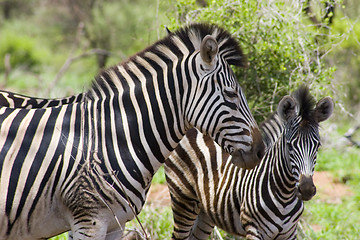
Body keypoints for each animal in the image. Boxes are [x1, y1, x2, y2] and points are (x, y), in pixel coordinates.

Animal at [166, 86, 334, 240]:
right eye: (289, 145)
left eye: (318, 145)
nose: (306, 189)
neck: (285, 195)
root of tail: (191, 126)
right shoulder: (254, 229)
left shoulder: (289, 233)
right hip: (182, 199)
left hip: (205, 211)